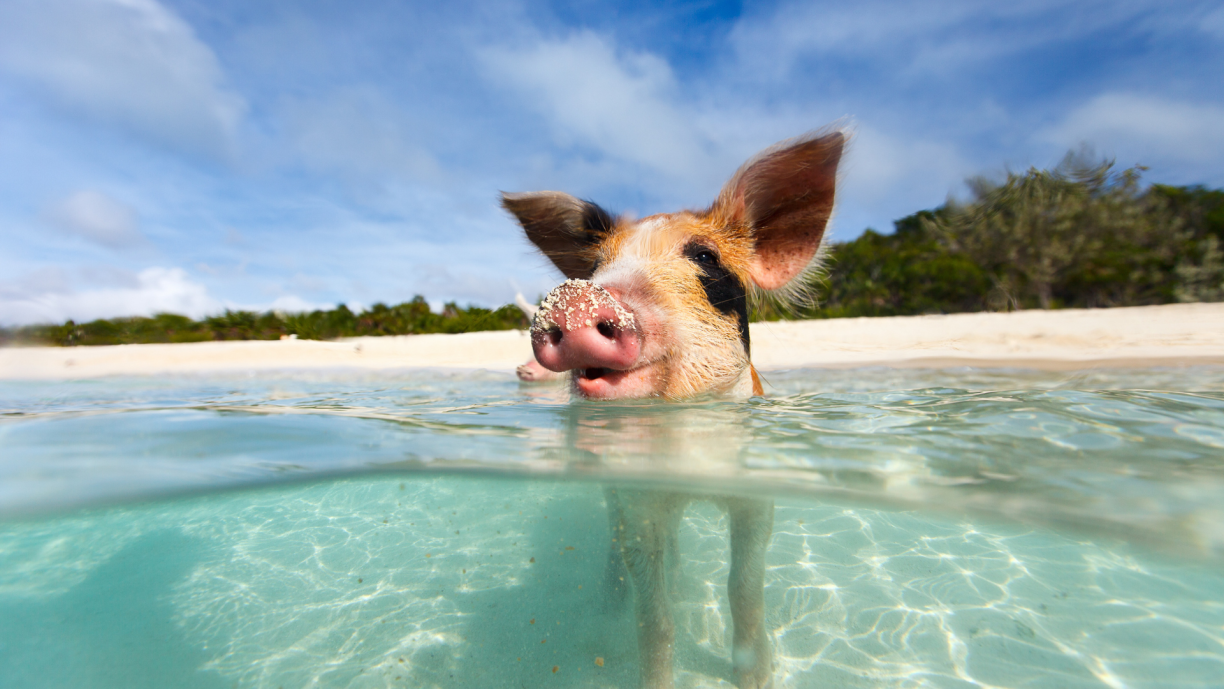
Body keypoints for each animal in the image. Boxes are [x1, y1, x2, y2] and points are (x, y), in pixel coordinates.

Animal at [501, 129, 844, 689]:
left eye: (704, 256)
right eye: (594, 267)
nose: (574, 296)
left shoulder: (756, 495)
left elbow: (743, 587)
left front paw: (756, 676)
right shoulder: (638, 499)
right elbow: (653, 614)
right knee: (615, 542)